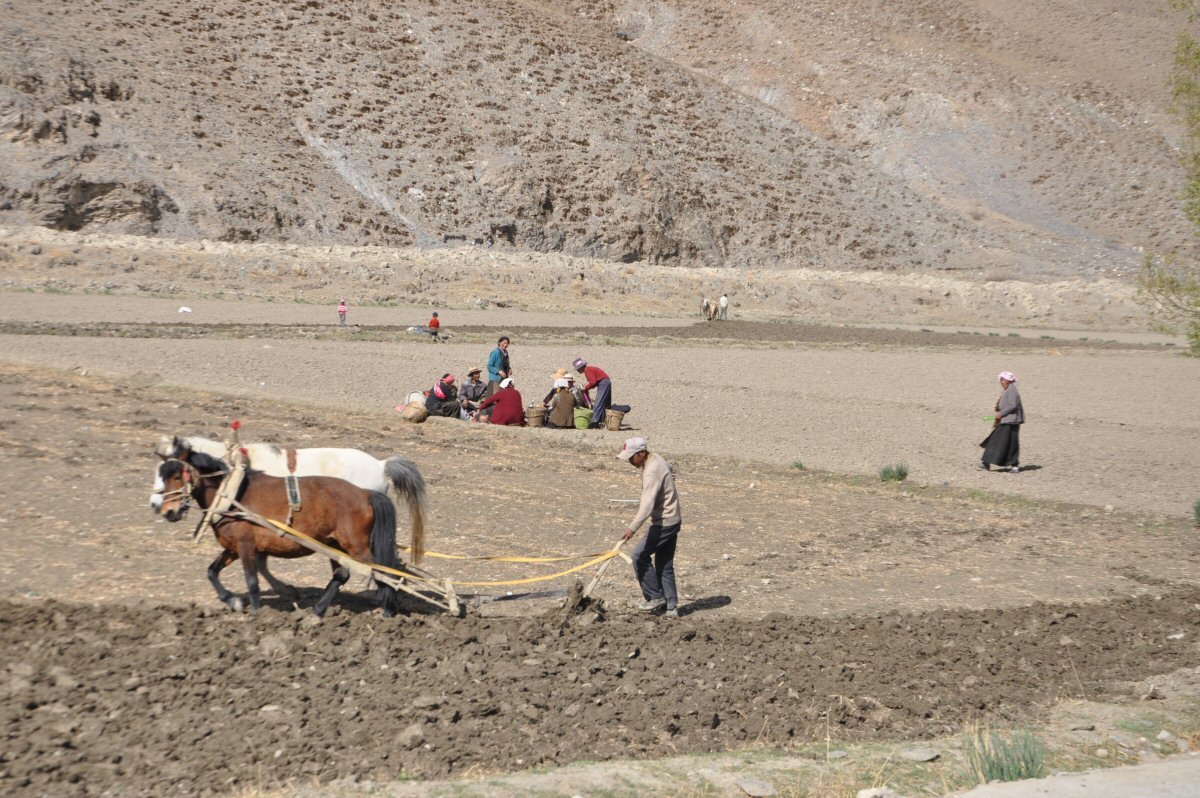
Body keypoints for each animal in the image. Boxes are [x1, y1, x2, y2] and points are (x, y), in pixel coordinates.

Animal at [152, 436, 429, 597]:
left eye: (175, 474)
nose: (158, 507)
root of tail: (382, 464)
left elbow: (258, 564)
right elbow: (260, 563)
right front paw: (283, 589)